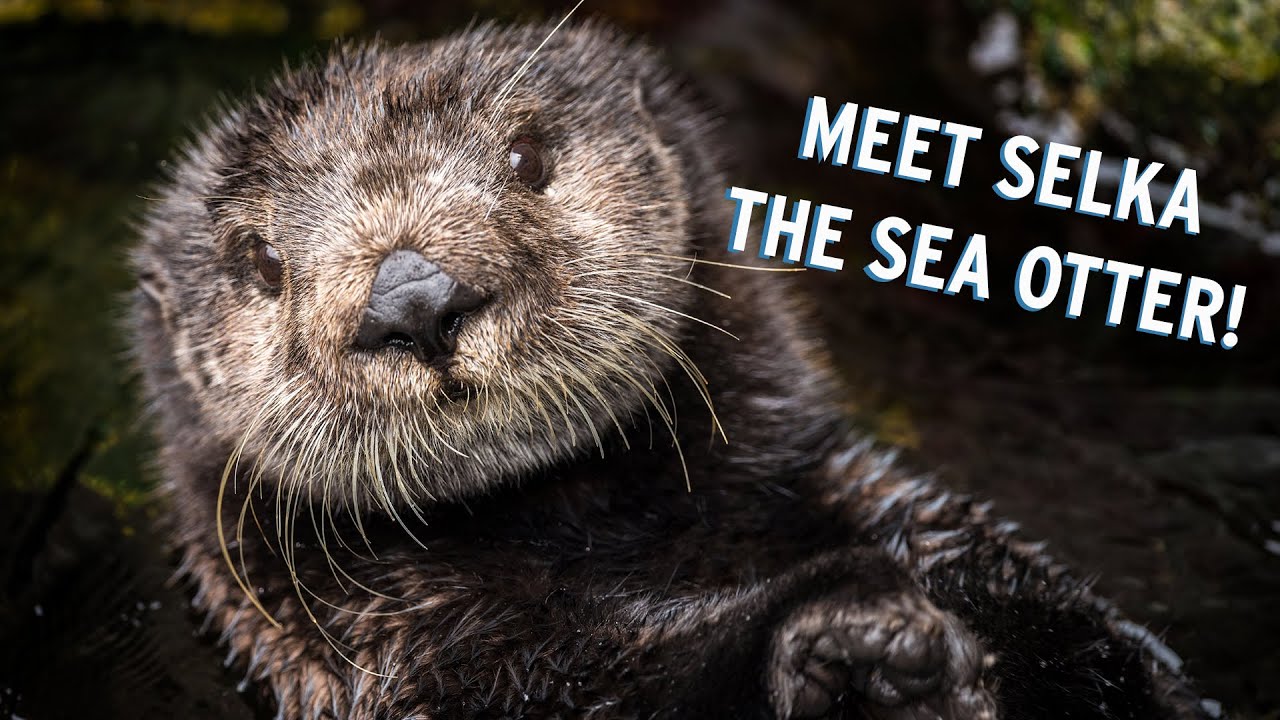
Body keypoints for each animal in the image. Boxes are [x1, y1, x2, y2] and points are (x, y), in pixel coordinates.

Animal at [130, 22, 1213, 720]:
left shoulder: (879, 497)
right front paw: (854, 636)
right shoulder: (423, 654)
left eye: (526, 157)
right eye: (260, 261)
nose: (411, 300)